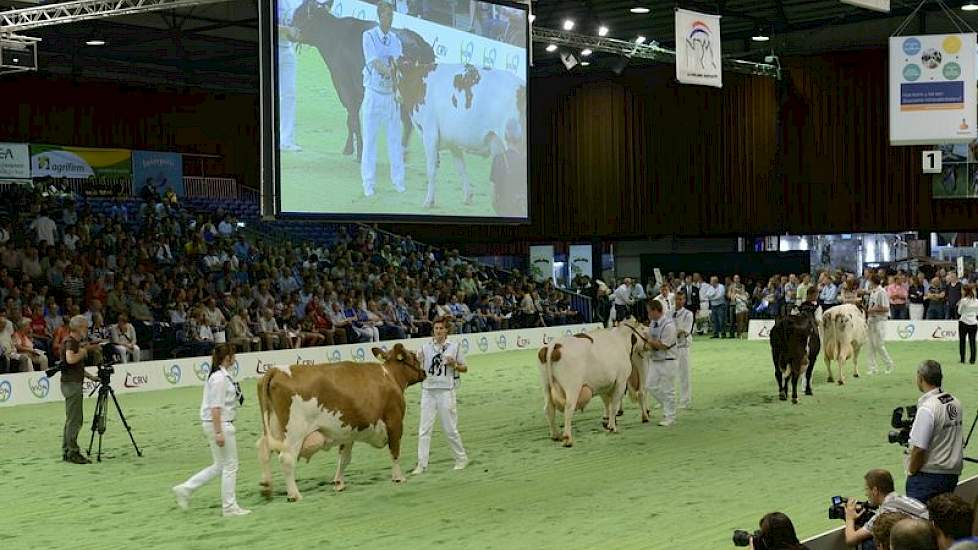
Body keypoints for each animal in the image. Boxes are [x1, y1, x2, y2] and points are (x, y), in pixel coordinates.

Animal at [258, 348, 426, 502]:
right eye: (414, 357)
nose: (424, 372)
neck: (390, 376)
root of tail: (276, 370)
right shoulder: (394, 422)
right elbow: (395, 451)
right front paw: (398, 477)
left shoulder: (348, 433)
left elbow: (344, 458)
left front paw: (339, 483)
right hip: (295, 431)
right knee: (286, 458)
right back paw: (294, 495)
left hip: (273, 428)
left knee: (263, 448)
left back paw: (266, 487)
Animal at [392, 61, 524, 209]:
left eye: (394, 74)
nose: (396, 96)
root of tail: (521, 86)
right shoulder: (453, 142)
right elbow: (461, 168)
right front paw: (468, 197)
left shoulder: (430, 134)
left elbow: (431, 170)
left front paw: (429, 201)